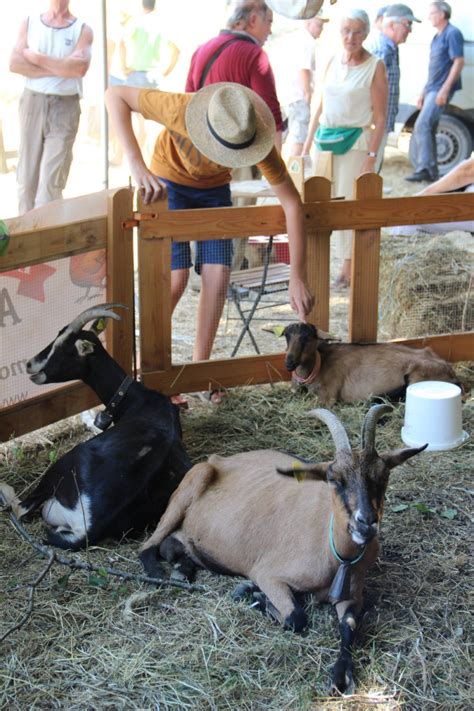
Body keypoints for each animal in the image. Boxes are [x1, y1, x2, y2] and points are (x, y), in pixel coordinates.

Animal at [0, 304, 193, 552]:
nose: (29, 364)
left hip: (65, 462)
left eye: (63, 349)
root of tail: (88, 526)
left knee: (21, 509)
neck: (140, 400)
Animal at [139, 406, 428, 696]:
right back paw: (160, 573)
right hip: (187, 488)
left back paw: (182, 568)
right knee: (148, 546)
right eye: (334, 478)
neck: (334, 554)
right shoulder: (268, 574)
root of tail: (219, 459)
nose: (365, 522)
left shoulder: (352, 597)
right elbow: (295, 619)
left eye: (383, 476)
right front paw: (255, 595)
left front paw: (340, 675)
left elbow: (348, 625)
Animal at [284, 322, 462, 406]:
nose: (289, 363)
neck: (319, 364)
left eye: (307, 338)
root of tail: (450, 370)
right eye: (286, 336)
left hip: (416, 377)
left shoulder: (327, 396)